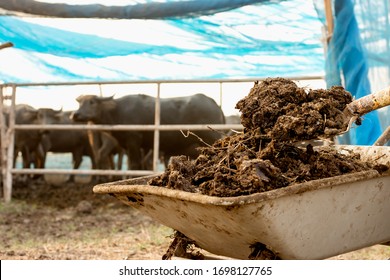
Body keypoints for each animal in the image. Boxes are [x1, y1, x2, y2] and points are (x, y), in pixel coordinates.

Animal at [72, 93, 225, 168]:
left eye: (92, 102)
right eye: (79, 103)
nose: (75, 114)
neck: (118, 111)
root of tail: (214, 104)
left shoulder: (134, 140)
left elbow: (135, 165)